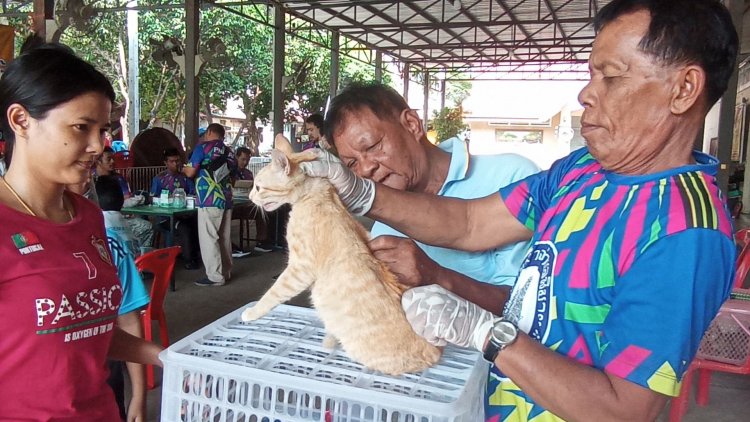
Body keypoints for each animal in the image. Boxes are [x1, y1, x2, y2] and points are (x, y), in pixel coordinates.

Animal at [241, 146, 440, 376]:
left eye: (258, 187)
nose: (249, 196)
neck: (318, 194)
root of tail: (436, 352)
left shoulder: (299, 269)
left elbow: (273, 293)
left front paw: (252, 312)